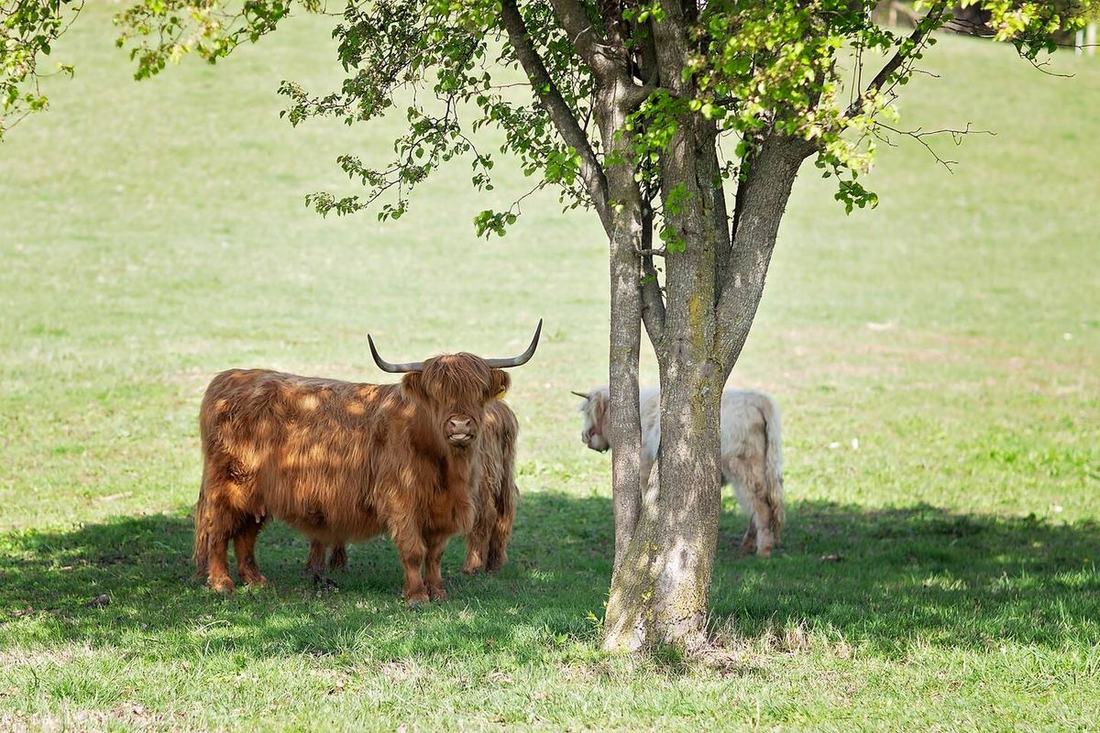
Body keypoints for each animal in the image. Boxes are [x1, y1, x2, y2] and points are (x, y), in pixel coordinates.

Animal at [314, 399, 520, 581]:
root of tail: (502, 413)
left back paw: (473, 567)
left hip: (479, 483)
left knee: (485, 516)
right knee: (503, 516)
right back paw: (494, 564)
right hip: (504, 477)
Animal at [574, 385, 785, 557]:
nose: (584, 437)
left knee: (760, 506)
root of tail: (755, 398)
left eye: (587, 413)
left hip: (744, 470)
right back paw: (747, 546)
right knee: (757, 507)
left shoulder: (645, 468)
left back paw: (763, 550)